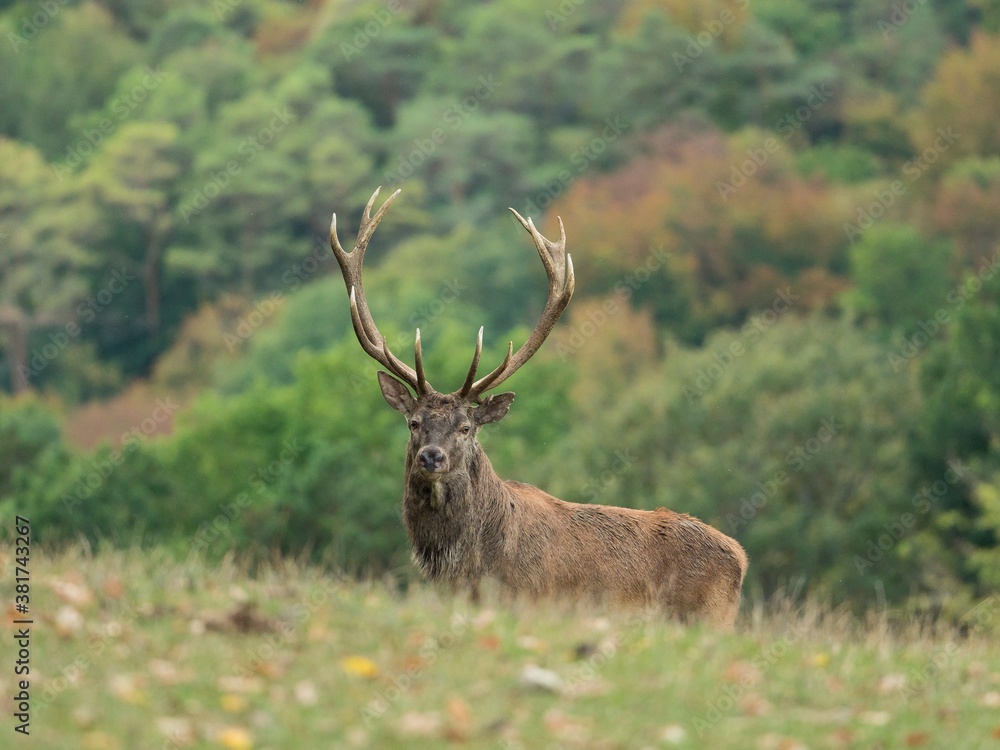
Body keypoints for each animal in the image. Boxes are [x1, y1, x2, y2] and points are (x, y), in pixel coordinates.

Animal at [330, 188, 748, 626]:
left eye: (466, 427)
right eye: (413, 422)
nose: (431, 457)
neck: (470, 567)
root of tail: (741, 558)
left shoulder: (532, 603)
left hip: (710, 619)